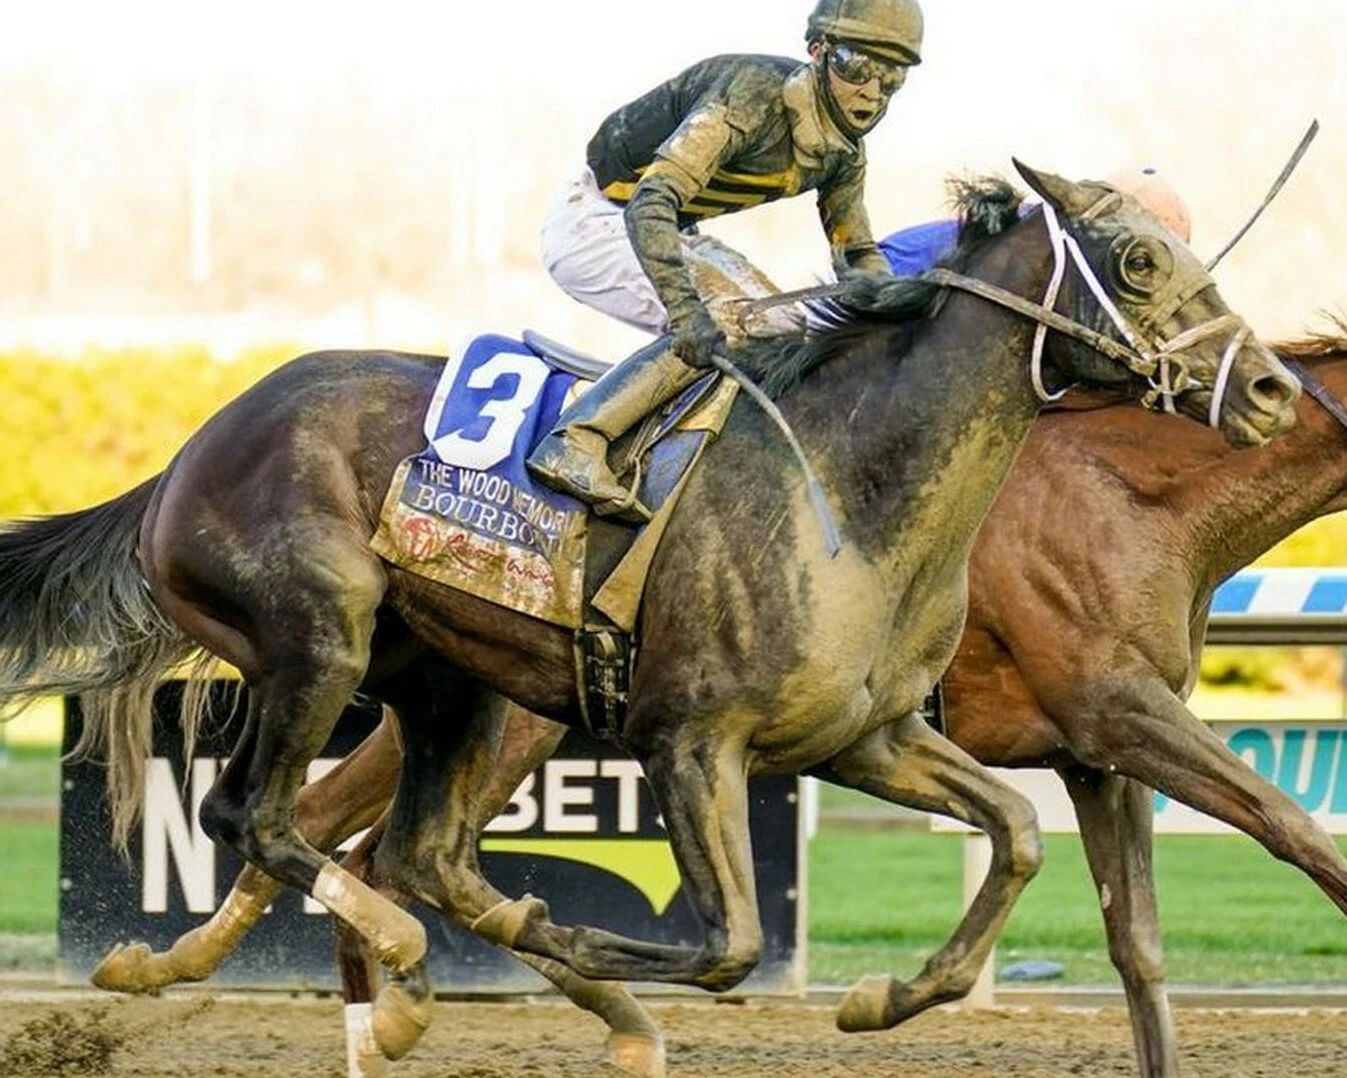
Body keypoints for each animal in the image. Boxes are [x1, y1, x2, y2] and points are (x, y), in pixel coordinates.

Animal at [0, 164, 1298, 1069]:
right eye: (1138, 259)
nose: (1275, 387)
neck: (851, 490)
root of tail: (184, 456)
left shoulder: (864, 735)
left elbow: (1018, 836)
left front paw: (887, 996)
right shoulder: (691, 738)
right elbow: (729, 944)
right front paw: (588, 948)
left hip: (453, 681)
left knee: (418, 850)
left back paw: (521, 997)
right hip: (317, 639)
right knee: (258, 816)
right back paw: (405, 974)